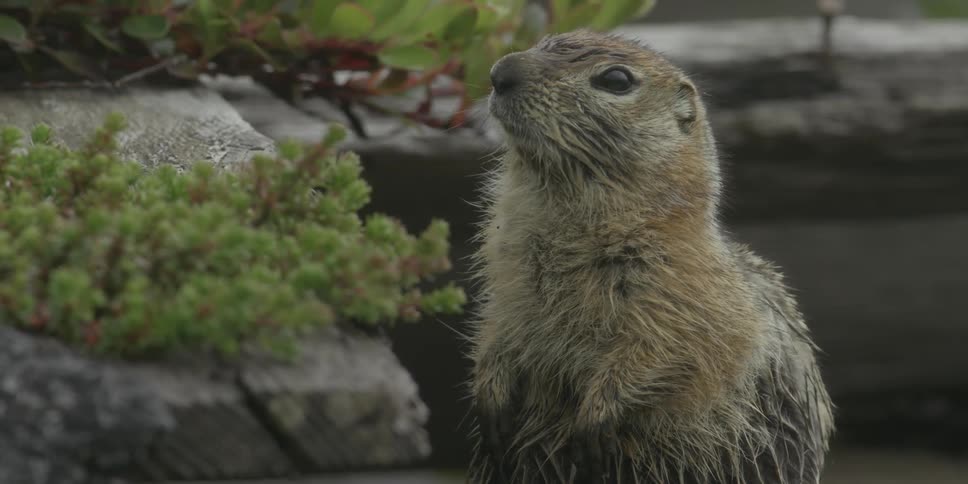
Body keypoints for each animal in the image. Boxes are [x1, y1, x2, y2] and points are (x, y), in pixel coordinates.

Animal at [465, 30, 834, 484]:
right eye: (542, 41)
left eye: (617, 79)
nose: (501, 72)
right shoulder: (506, 275)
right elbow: (496, 328)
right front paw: (490, 397)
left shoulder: (687, 287)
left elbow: (678, 349)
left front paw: (596, 420)